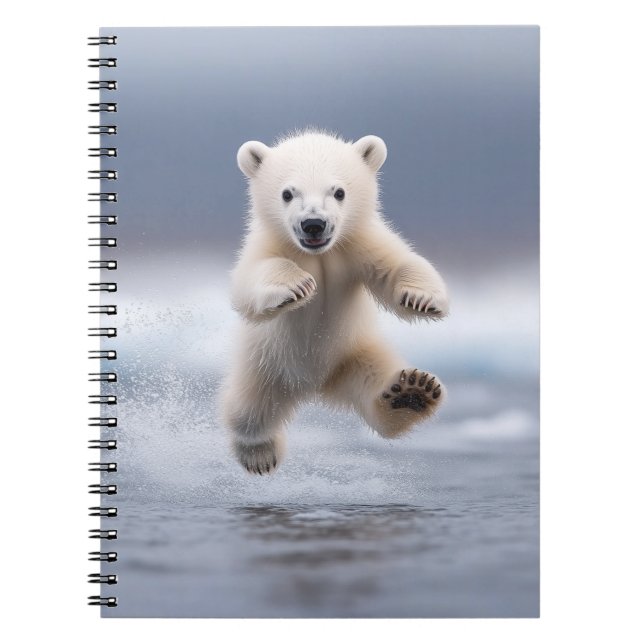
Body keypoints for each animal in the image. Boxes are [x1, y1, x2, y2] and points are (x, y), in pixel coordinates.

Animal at [221, 130, 449, 474]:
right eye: (287, 193)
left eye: (339, 191)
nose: (313, 223)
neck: (319, 254)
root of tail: (315, 385)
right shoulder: (272, 244)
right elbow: (253, 279)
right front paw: (297, 285)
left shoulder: (357, 244)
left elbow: (396, 264)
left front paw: (421, 298)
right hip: (265, 363)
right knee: (248, 410)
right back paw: (259, 454)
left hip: (356, 353)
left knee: (377, 384)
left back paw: (412, 393)